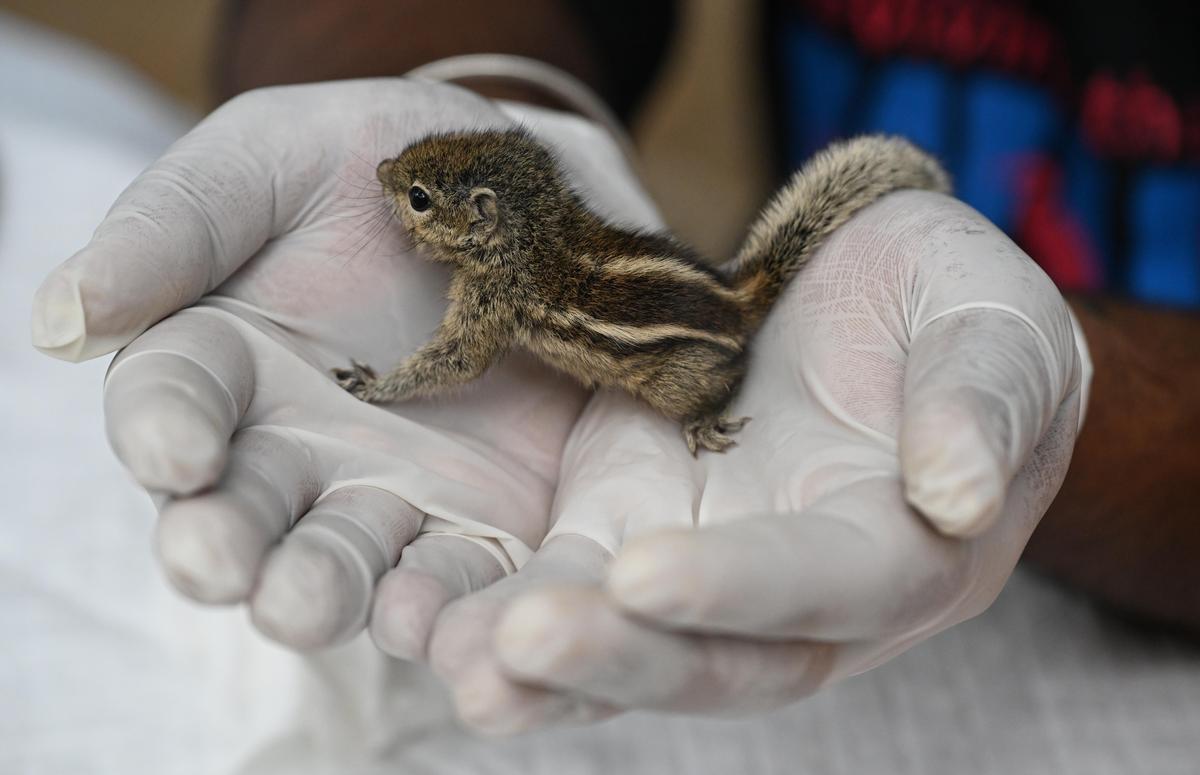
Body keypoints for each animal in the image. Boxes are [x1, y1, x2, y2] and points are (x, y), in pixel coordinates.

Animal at [334, 131, 950, 453]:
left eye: (418, 197)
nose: (381, 168)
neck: (535, 232)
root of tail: (735, 301)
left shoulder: (491, 309)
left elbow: (454, 362)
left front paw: (374, 385)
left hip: (677, 380)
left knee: (730, 378)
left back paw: (706, 419)